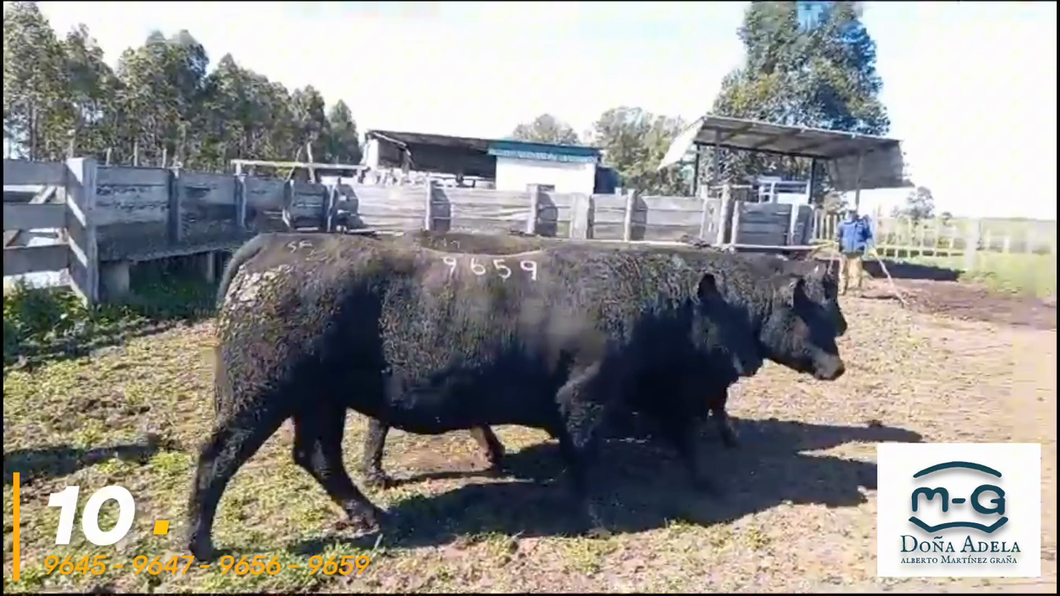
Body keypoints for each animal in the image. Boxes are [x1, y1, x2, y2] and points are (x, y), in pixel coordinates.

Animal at [190, 231, 771, 555]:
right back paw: (199, 545)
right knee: (218, 456)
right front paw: (601, 521)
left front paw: (707, 482)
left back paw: (376, 516)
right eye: (729, 312)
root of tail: (275, 245)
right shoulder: (584, 399)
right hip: (258, 393)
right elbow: (587, 459)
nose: (750, 359)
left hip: (319, 399)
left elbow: (680, 435)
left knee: (318, 455)